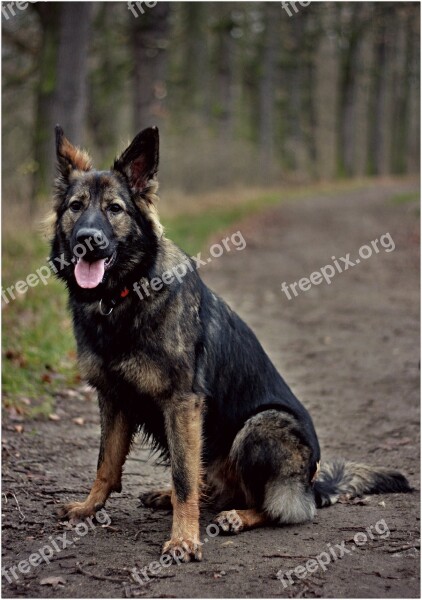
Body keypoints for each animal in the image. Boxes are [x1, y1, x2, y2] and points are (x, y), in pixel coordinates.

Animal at [52, 125, 412, 564]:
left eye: (114, 209)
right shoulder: (114, 399)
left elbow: (184, 478)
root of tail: (313, 485)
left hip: (261, 427)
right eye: (76, 207)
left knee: (277, 507)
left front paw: (184, 539)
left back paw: (237, 516)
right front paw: (89, 508)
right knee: (212, 486)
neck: (123, 296)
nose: (87, 240)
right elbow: (105, 464)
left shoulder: (182, 403)